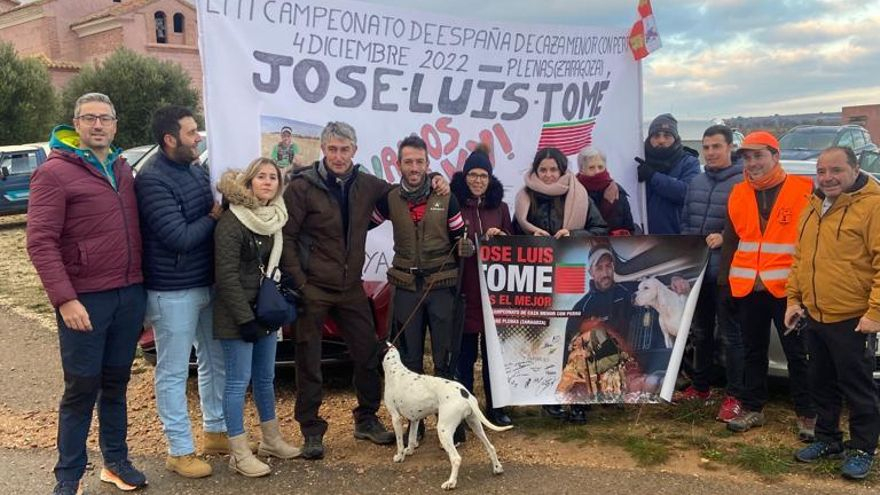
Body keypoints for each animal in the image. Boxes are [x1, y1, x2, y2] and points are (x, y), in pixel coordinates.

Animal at [382, 344, 512, 492]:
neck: (395, 369)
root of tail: (465, 394)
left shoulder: (395, 417)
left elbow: (399, 442)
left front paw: (399, 456)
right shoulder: (415, 419)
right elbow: (411, 438)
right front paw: (409, 450)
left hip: (443, 429)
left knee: (456, 458)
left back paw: (451, 483)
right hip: (475, 424)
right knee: (490, 446)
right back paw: (497, 468)